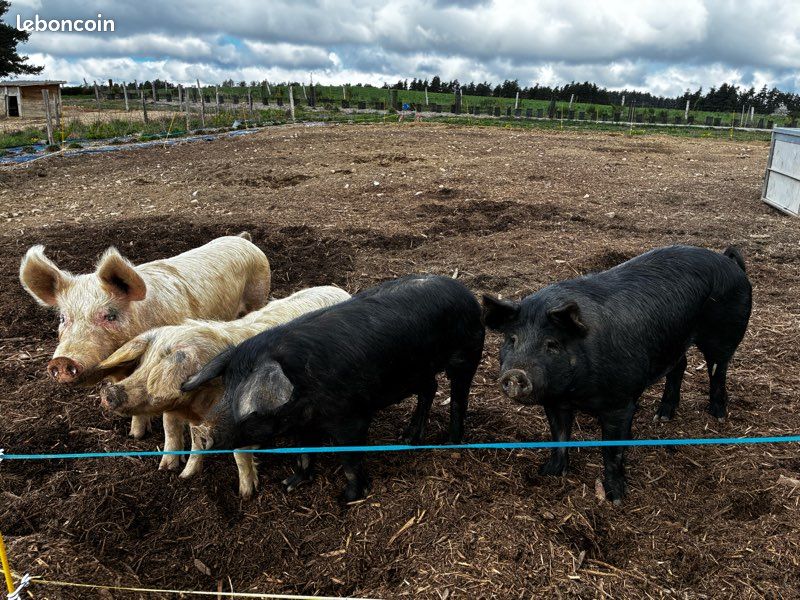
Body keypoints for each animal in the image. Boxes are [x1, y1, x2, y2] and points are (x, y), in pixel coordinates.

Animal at [19, 233, 271, 439]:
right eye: (63, 318)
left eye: (110, 315)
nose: (62, 361)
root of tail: (243, 240)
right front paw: (135, 436)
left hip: (259, 293)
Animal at [95, 286, 351, 498]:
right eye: (143, 364)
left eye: (159, 369)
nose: (109, 393)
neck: (199, 405)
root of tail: (341, 291)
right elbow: (193, 442)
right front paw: (182, 475)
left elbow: (239, 454)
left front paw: (246, 494)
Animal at [181, 274, 486, 503]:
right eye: (226, 386)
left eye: (248, 403)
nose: (202, 431)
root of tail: (466, 292)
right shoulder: (304, 424)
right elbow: (304, 453)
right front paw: (288, 484)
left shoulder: (352, 418)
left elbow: (349, 461)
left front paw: (346, 498)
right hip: (417, 368)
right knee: (430, 388)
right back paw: (408, 438)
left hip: (467, 354)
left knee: (458, 398)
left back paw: (450, 443)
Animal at [482, 246, 752, 504]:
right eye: (512, 339)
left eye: (552, 344)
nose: (515, 373)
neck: (575, 392)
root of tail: (728, 262)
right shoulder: (555, 400)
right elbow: (559, 436)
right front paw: (548, 474)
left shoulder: (619, 403)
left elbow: (612, 451)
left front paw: (616, 499)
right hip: (674, 342)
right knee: (680, 365)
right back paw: (662, 417)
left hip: (724, 334)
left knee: (718, 369)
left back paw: (718, 416)